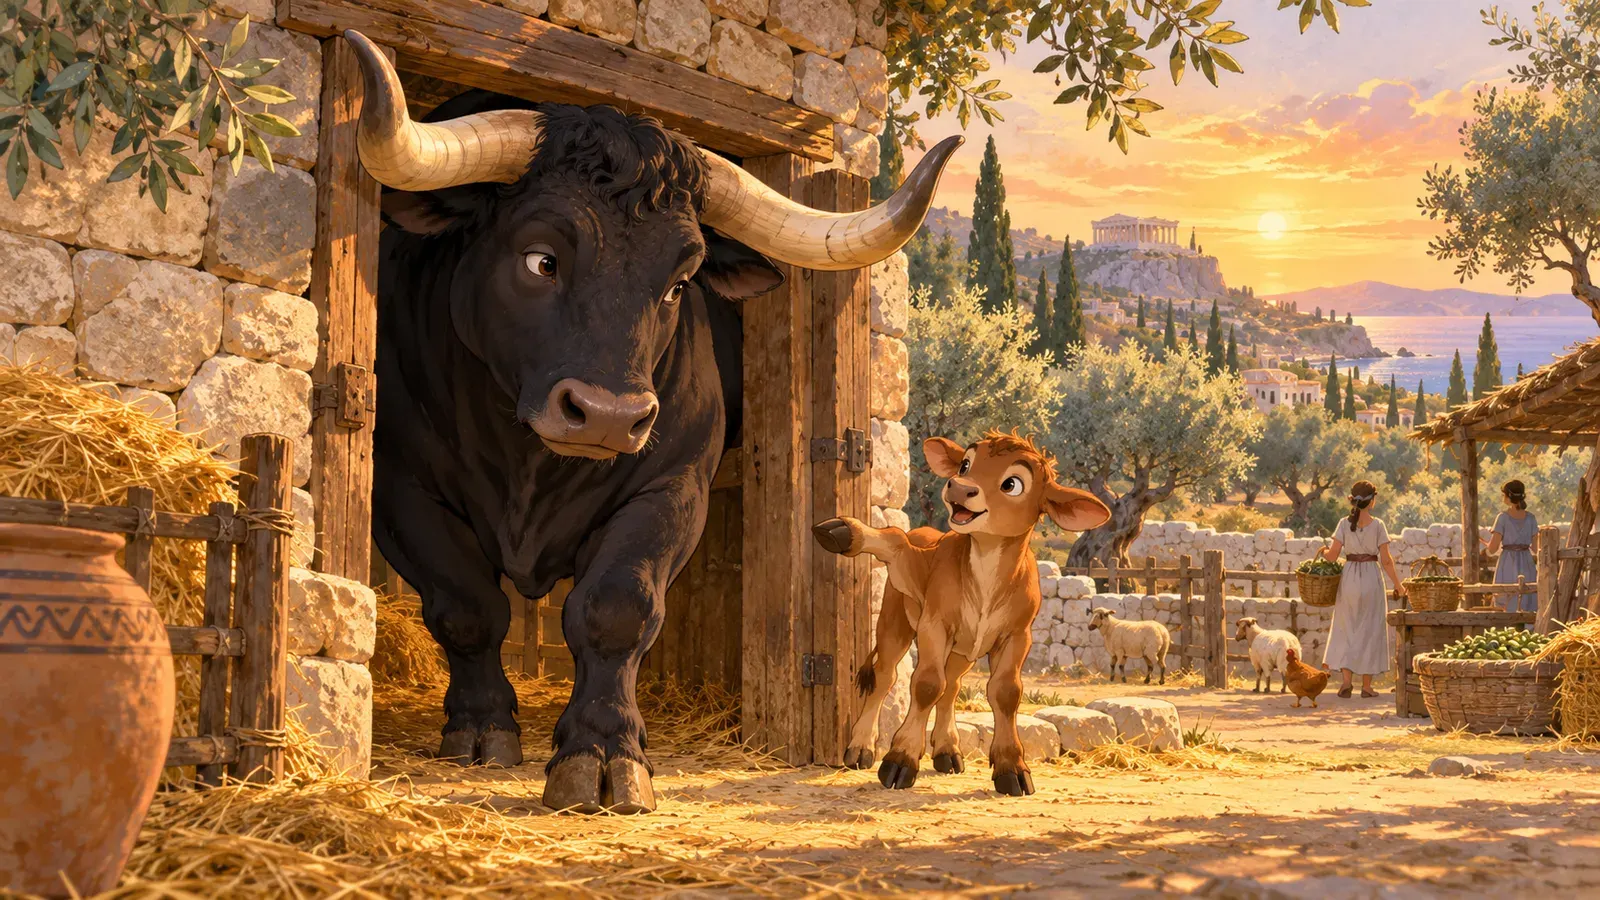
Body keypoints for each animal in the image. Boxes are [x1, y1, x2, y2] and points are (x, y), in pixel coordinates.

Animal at [340, 31, 958, 814]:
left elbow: (616, 608)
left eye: (678, 283)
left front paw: (603, 754)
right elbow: (466, 605)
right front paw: (482, 728)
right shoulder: (402, 486)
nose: (609, 415)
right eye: (540, 258)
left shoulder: (672, 487)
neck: (528, 468)